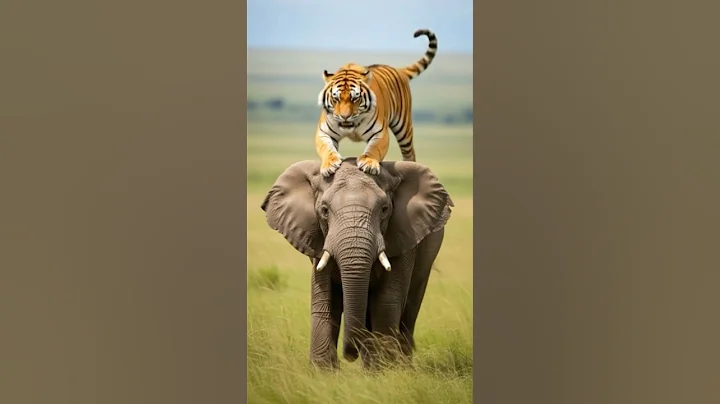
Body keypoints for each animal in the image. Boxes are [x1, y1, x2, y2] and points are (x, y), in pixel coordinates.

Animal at [260, 157, 454, 370]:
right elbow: (326, 299)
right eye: (324, 211)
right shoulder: (319, 240)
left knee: (409, 309)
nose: (350, 355)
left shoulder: (404, 235)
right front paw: (322, 372)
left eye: (384, 210)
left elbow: (386, 301)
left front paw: (385, 370)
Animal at [315, 28, 438, 177]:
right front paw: (329, 164)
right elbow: (326, 148)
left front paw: (368, 163)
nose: (345, 117)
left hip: (404, 128)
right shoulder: (324, 132)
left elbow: (374, 149)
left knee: (409, 153)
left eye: (355, 98)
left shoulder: (380, 133)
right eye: (336, 98)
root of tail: (398, 70)